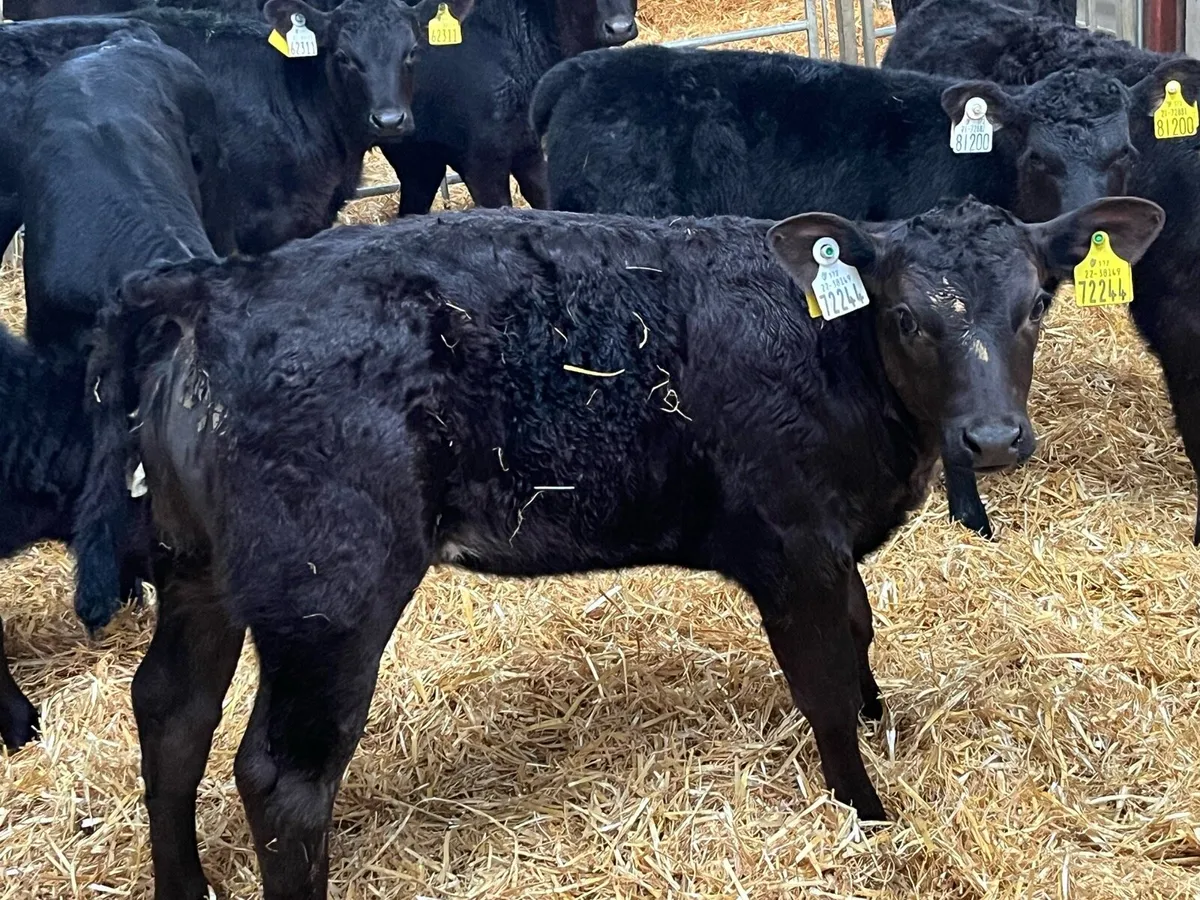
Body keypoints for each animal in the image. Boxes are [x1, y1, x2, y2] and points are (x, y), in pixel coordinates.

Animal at [81, 197, 1164, 897]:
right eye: (906, 316)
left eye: (1035, 305)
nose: (994, 439)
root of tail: (222, 284)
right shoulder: (791, 545)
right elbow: (821, 679)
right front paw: (867, 813)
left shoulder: (830, 546)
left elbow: (861, 637)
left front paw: (879, 718)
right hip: (328, 595)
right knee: (282, 775)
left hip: (199, 569)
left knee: (171, 710)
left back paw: (182, 886)